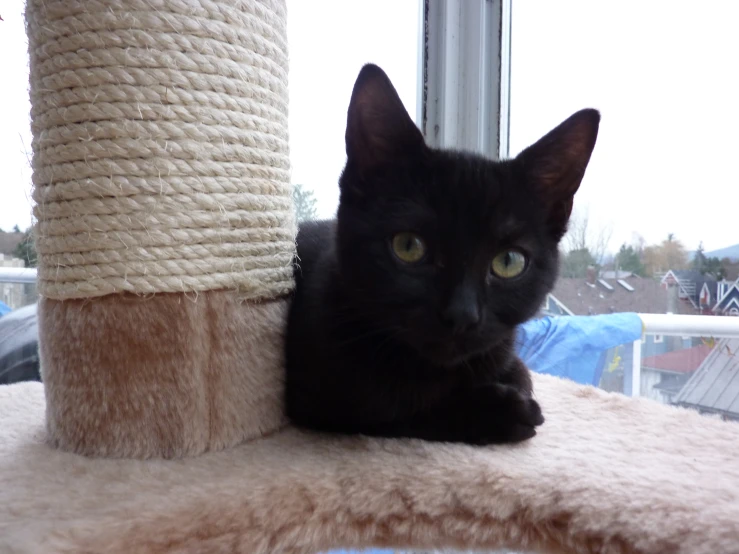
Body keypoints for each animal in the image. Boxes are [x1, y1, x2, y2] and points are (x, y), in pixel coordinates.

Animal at [284, 63, 600, 444]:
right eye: (408, 246)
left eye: (508, 262)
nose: (462, 314)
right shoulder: (321, 398)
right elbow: (399, 411)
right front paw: (501, 411)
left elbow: (520, 372)